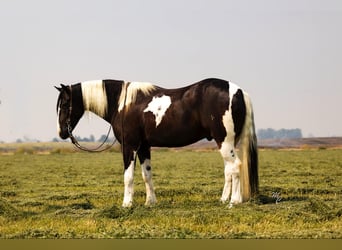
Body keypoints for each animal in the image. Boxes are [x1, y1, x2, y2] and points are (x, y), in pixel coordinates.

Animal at [56, 77, 258, 207]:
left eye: (65, 104)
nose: (62, 133)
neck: (123, 103)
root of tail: (239, 92)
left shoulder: (129, 146)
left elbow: (128, 176)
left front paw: (127, 204)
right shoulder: (144, 146)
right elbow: (146, 174)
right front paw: (150, 202)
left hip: (225, 141)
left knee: (236, 167)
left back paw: (234, 201)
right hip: (227, 143)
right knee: (229, 170)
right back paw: (224, 199)